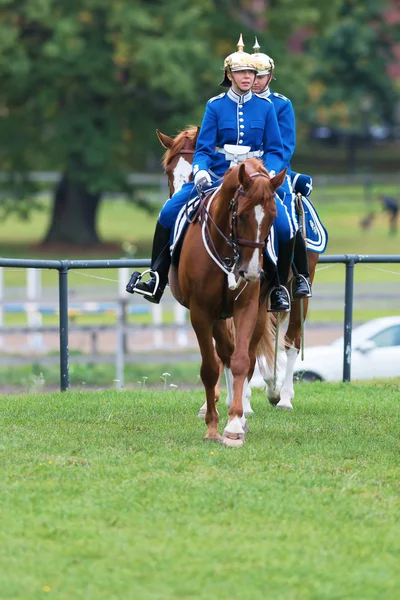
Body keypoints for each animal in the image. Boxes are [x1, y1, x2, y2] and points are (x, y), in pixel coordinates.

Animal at [158, 124, 320, 410]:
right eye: (169, 172)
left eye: (193, 173)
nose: (180, 199)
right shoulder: (205, 306)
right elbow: (224, 350)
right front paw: (220, 401)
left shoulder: (251, 302)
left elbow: (246, 350)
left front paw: (243, 401)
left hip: (298, 291)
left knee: (291, 340)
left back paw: (283, 396)